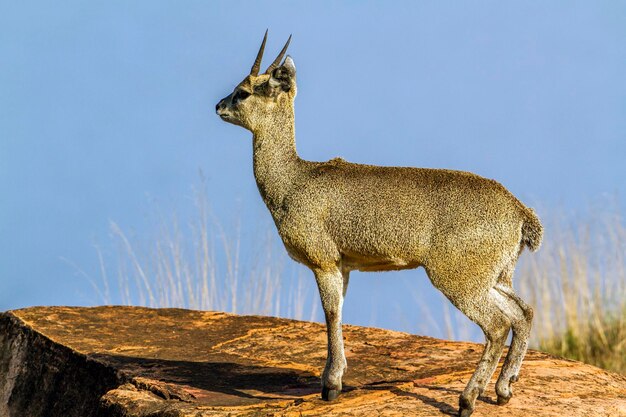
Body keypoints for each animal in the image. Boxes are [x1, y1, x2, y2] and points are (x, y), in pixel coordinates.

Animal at [214, 31, 540, 416]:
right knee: (523, 313)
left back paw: (467, 400)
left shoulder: (324, 262)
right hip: (496, 277)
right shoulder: (345, 266)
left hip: (459, 281)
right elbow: (339, 313)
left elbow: (331, 314)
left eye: (243, 91)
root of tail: (520, 212)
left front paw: (331, 385)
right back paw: (504, 390)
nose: (218, 106)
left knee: (498, 325)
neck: (294, 180)